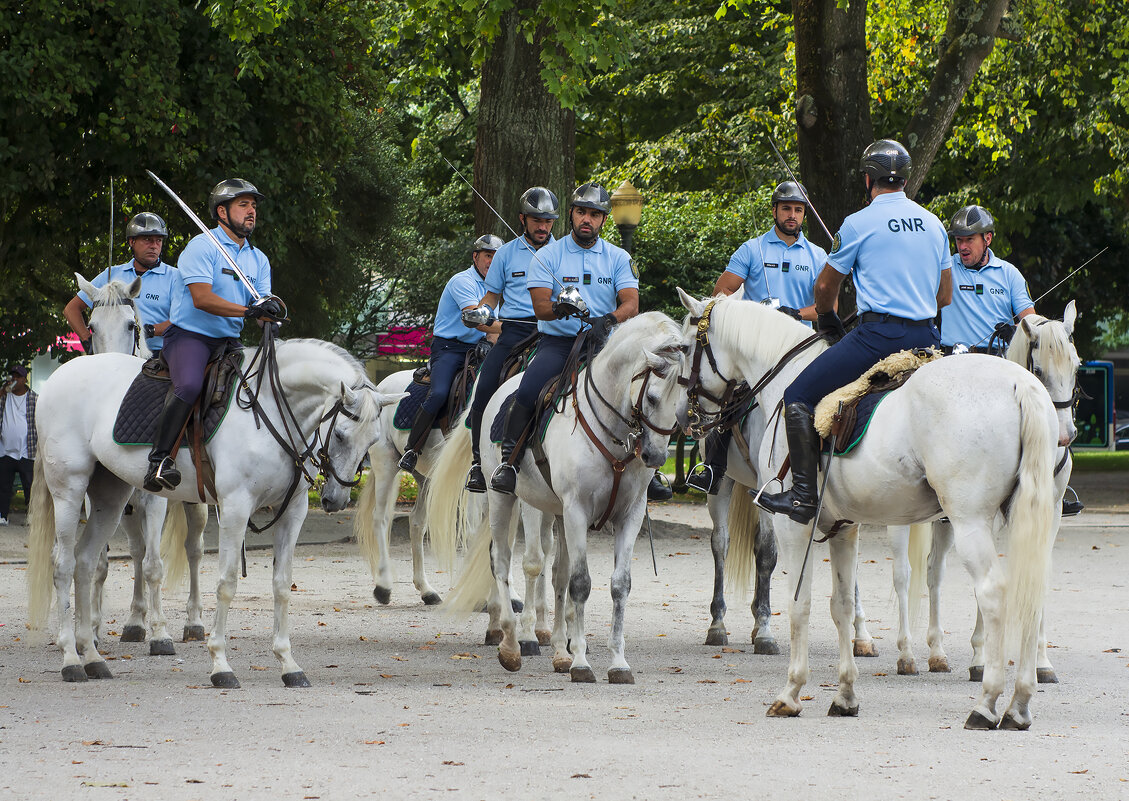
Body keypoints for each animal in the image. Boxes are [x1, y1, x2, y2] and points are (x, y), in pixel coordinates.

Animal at [25, 334, 406, 682]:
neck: (269, 408)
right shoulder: (235, 507)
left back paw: (92, 657)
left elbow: (282, 585)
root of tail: (60, 375)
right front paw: (221, 663)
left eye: (373, 440)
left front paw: (288, 664)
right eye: (340, 434)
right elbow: (226, 583)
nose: (336, 499)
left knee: (86, 562)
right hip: (71, 490)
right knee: (64, 564)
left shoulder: (292, 511)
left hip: (111, 496)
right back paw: (71, 660)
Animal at [80, 272, 212, 646]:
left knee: (193, 549)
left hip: (195, 505)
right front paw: (94, 630)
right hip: (128, 508)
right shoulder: (97, 500)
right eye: (91, 326)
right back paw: (135, 621)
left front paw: (161, 634)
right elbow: (102, 563)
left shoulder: (156, 500)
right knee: (137, 551)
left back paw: (193, 621)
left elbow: (156, 566)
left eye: (131, 325)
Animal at [429, 311, 677, 682]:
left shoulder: (628, 515)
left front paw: (615, 662)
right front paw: (578, 661)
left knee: (556, 572)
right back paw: (510, 643)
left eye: (686, 399)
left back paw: (559, 649)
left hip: (555, 511)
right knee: (501, 560)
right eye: (652, 398)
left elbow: (616, 584)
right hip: (503, 497)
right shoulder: (573, 510)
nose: (656, 456)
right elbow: (574, 580)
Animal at [672, 291, 1061, 727]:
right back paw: (1020, 702)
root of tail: (1019, 382)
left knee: (993, 592)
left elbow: (800, 604)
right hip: (1019, 519)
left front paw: (791, 692)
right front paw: (845, 695)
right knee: (1031, 589)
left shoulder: (794, 527)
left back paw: (987, 701)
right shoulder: (844, 527)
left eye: (684, 347)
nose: (687, 416)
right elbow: (840, 605)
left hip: (969, 521)